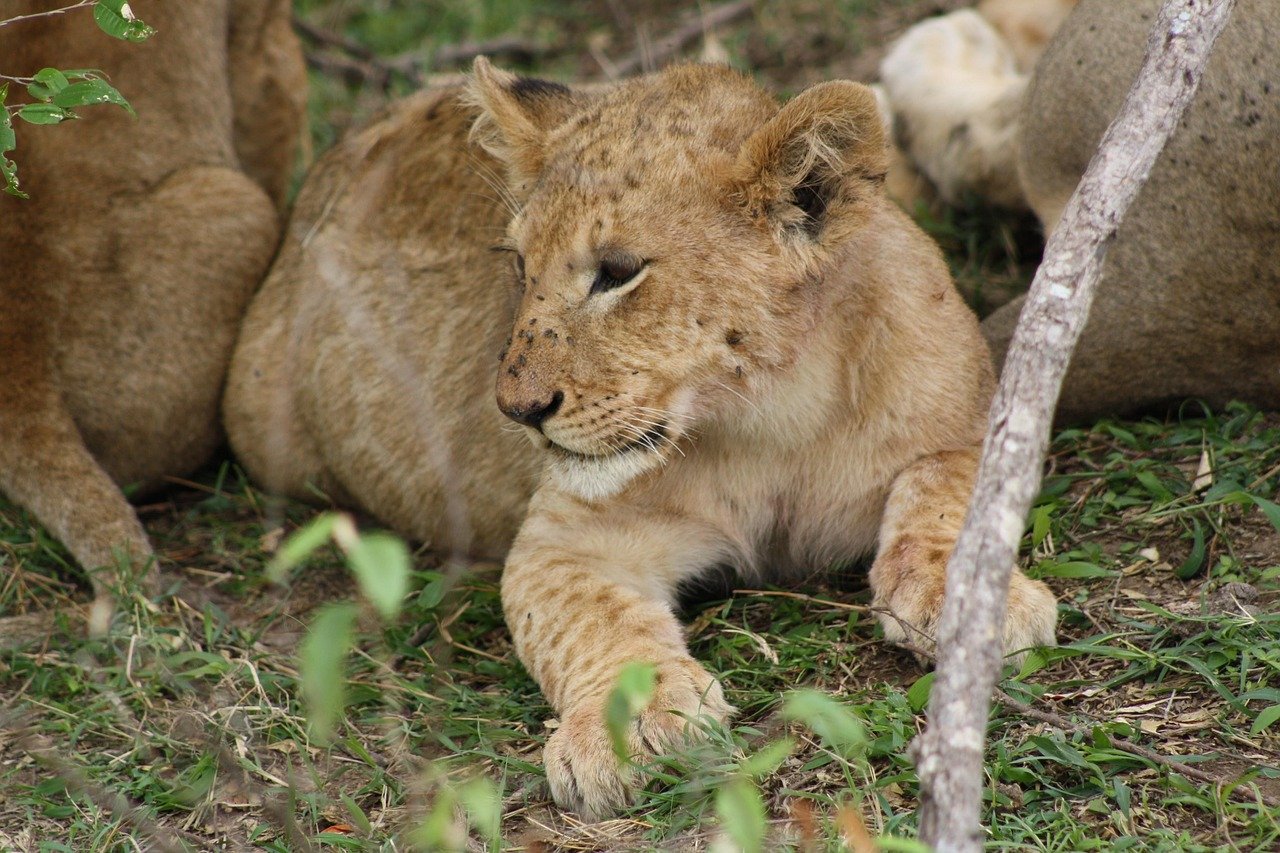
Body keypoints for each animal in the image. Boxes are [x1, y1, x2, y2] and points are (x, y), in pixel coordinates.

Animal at [224, 59, 1058, 820]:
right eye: (518, 264)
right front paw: (634, 721)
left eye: (617, 272)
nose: (517, 408)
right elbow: (593, 619)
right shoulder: (563, 539)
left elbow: (945, 486)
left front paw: (965, 596)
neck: (772, 416)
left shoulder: (977, 418)